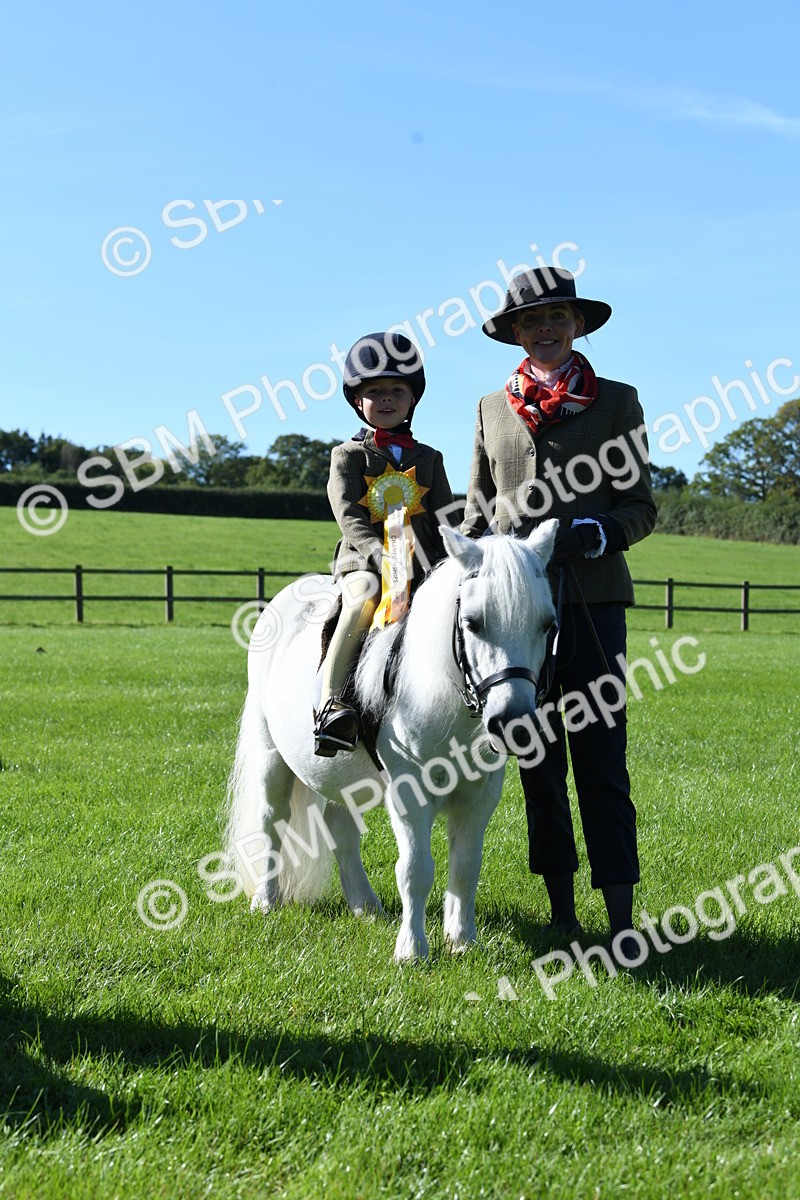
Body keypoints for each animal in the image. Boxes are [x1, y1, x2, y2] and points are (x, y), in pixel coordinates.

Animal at [225, 519, 558, 961]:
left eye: (547, 625)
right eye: (472, 622)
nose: (513, 724)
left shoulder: (480, 795)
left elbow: (467, 866)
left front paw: (462, 941)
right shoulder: (408, 791)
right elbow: (415, 869)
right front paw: (412, 949)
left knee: (340, 827)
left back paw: (365, 906)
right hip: (271, 756)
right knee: (271, 822)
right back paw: (266, 899)